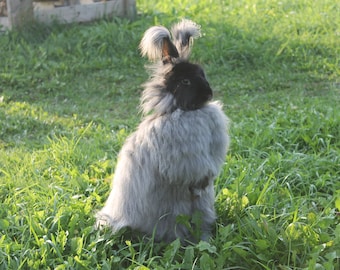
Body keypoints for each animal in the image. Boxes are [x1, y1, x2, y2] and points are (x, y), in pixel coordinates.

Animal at [94, 19, 230, 243]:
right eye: (185, 81)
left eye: (202, 74)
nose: (208, 93)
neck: (187, 111)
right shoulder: (185, 160)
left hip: (202, 208)